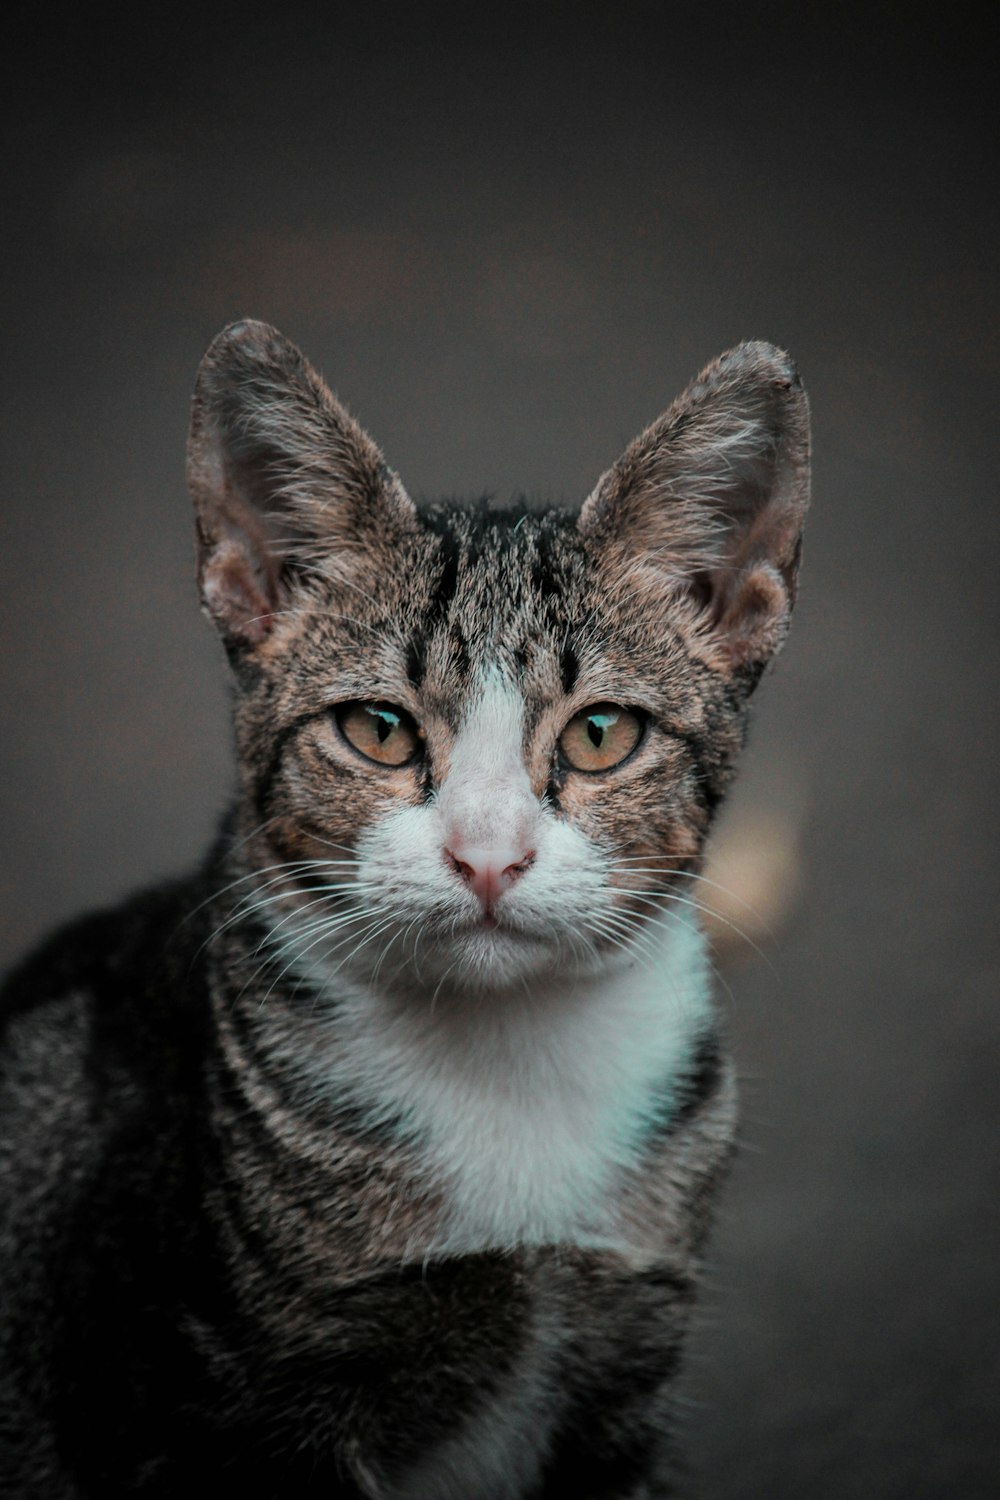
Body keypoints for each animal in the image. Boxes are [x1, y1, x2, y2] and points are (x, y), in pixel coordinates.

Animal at [0, 322, 809, 1494]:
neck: (508, 1068)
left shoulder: (625, 1356)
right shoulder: (223, 1391)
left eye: (600, 733)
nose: (488, 856)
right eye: (377, 729)